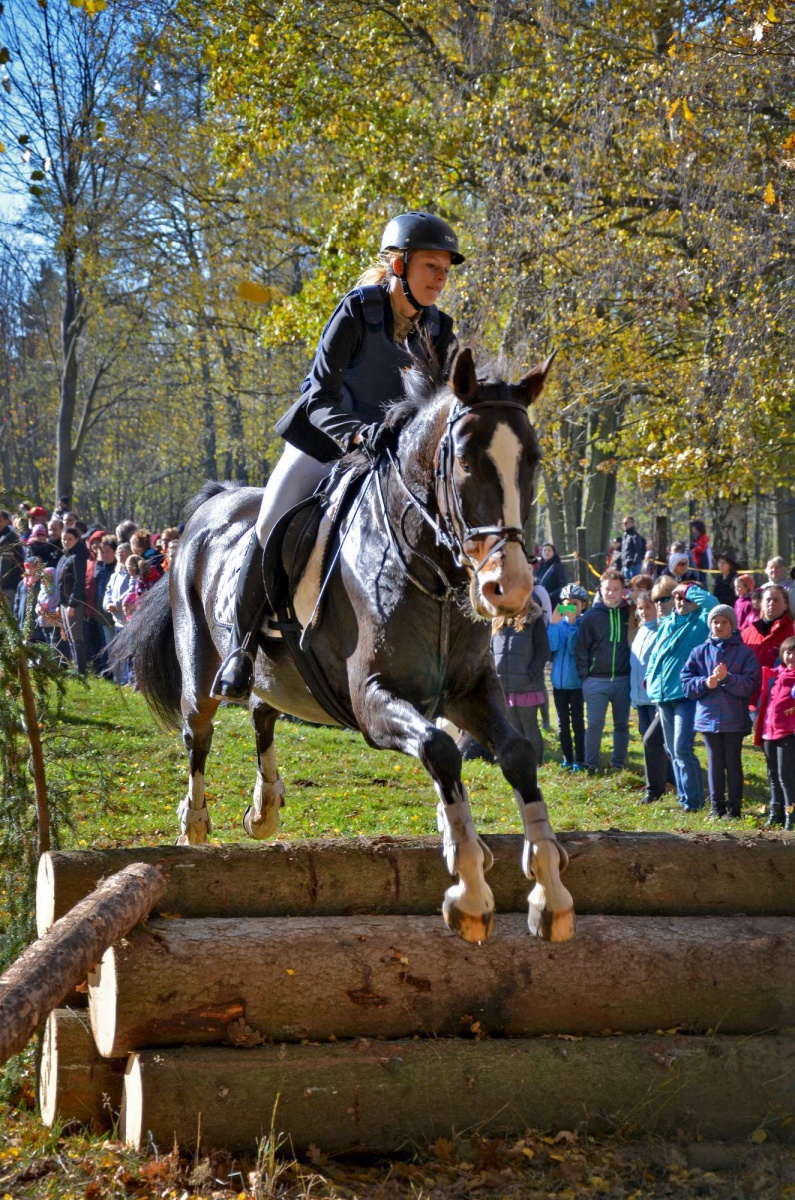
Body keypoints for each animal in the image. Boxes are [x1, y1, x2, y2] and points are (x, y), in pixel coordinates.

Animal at [119, 349, 574, 945]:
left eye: (533, 460)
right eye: (466, 461)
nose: (511, 588)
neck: (426, 565)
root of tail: (214, 503)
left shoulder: (470, 690)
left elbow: (518, 753)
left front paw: (550, 893)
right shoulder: (372, 699)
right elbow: (440, 749)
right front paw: (471, 891)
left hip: (280, 674)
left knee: (263, 710)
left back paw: (265, 809)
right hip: (201, 665)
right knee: (200, 729)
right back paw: (194, 825)